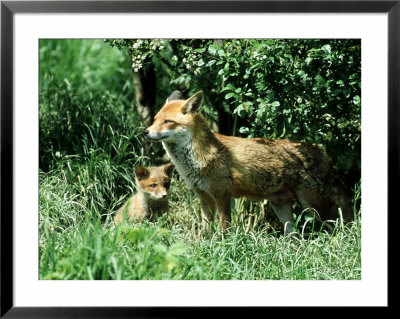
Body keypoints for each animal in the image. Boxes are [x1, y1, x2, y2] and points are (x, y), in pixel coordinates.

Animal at [145, 91, 354, 234]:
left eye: (168, 121)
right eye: (154, 120)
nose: (145, 132)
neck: (197, 159)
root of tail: (321, 150)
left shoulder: (222, 194)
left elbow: (223, 227)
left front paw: (223, 247)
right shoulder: (204, 197)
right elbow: (205, 230)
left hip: (314, 206)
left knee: (338, 225)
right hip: (282, 208)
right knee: (294, 235)